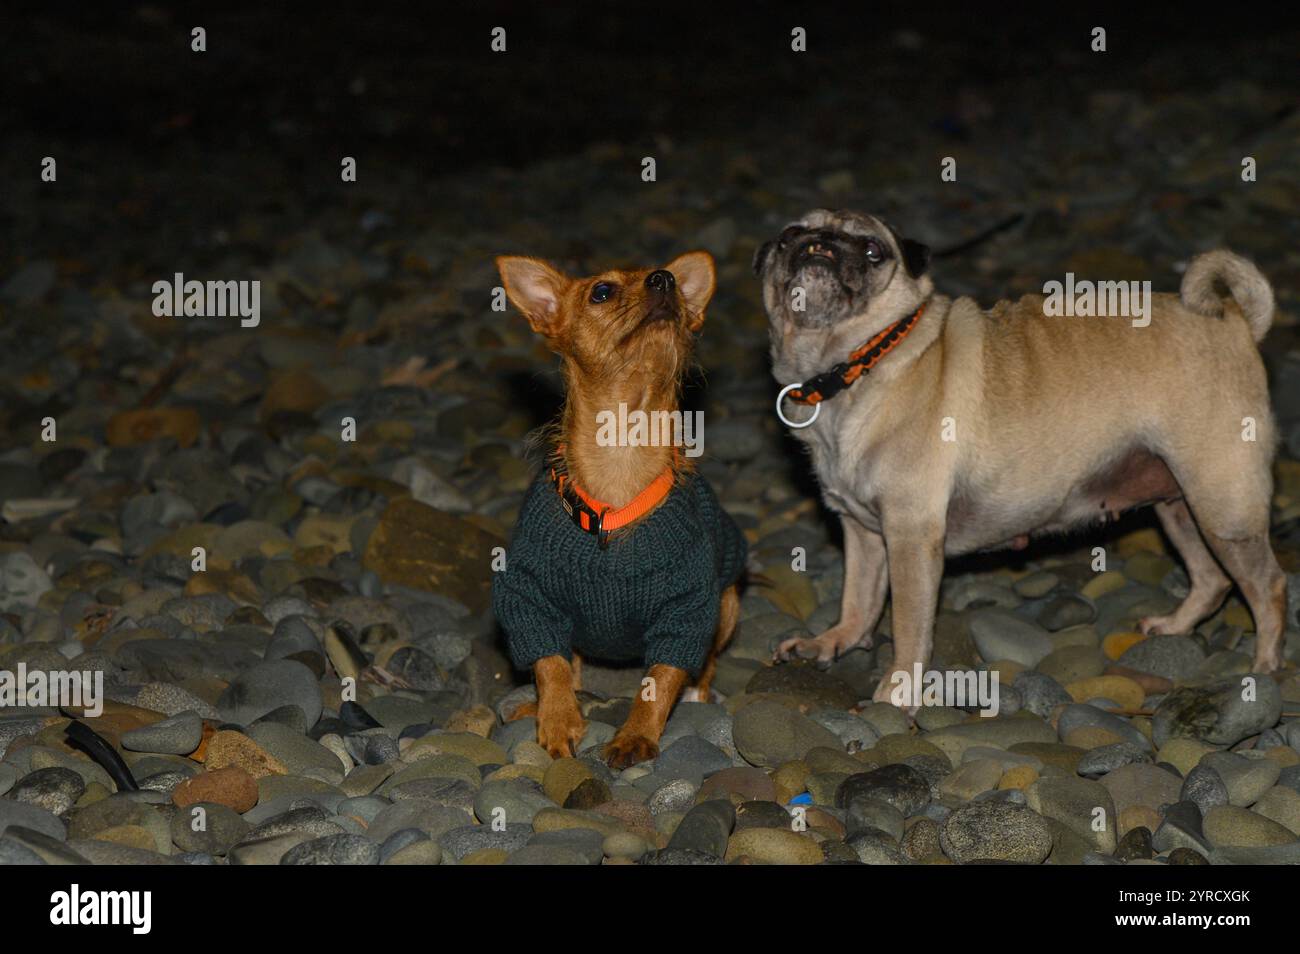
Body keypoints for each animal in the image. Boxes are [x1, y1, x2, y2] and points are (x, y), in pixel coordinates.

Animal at [491, 252, 748, 769]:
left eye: (677, 289)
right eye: (602, 292)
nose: (665, 280)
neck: (622, 452)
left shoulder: (688, 609)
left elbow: (660, 680)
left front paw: (636, 734)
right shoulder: (527, 597)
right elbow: (548, 663)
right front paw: (557, 718)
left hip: (727, 602)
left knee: (707, 664)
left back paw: (698, 695)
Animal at [759, 209, 1284, 707]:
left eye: (872, 250)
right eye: (789, 237)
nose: (820, 245)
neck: (857, 364)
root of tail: (1235, 320)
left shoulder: (910, 535)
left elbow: (908, 627)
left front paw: (898, 693)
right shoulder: (863, 531)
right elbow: (859, 597)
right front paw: (834, 641)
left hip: (1223, 506)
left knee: (1269, 586)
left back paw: (1264, 668)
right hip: (1179, 505)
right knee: (1212, 579)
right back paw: (1176, 627)